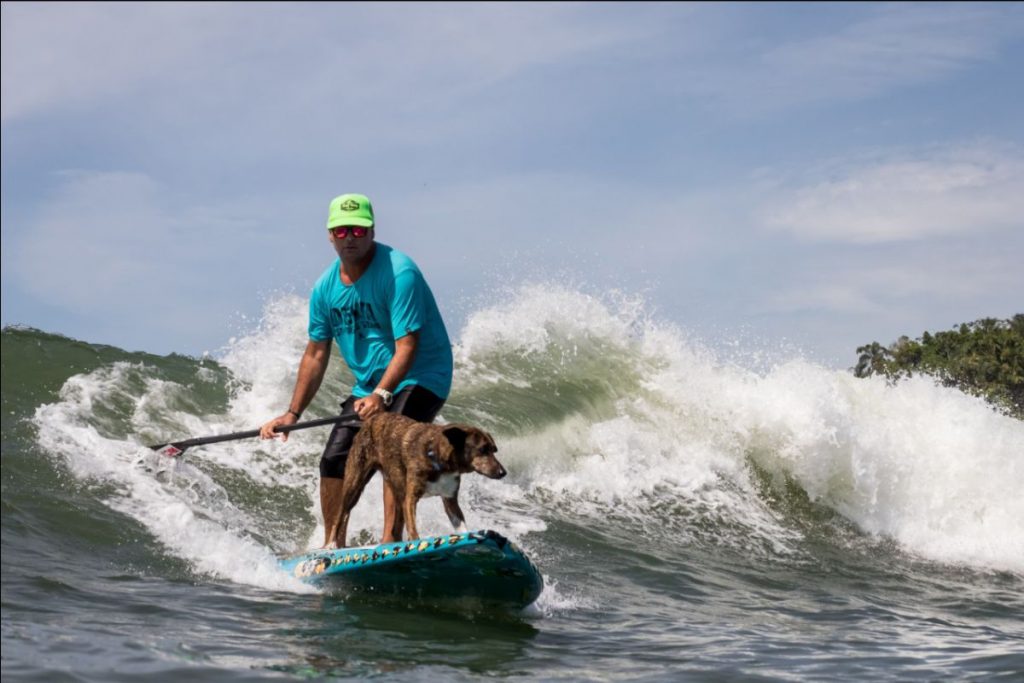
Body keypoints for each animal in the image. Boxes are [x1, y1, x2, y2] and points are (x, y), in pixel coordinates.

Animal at [333, 409, 505, 548]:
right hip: (354, 484)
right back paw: (331, 545)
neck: (441, 462)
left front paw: (469, 537)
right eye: (482, 450)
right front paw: (416, 542)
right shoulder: (411, 498)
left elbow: (461, 525)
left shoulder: (451, 501)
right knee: (340, 514)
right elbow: (413, 528)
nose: (503, 472)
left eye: (494, 450)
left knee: (395, 527)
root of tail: (372, 418)